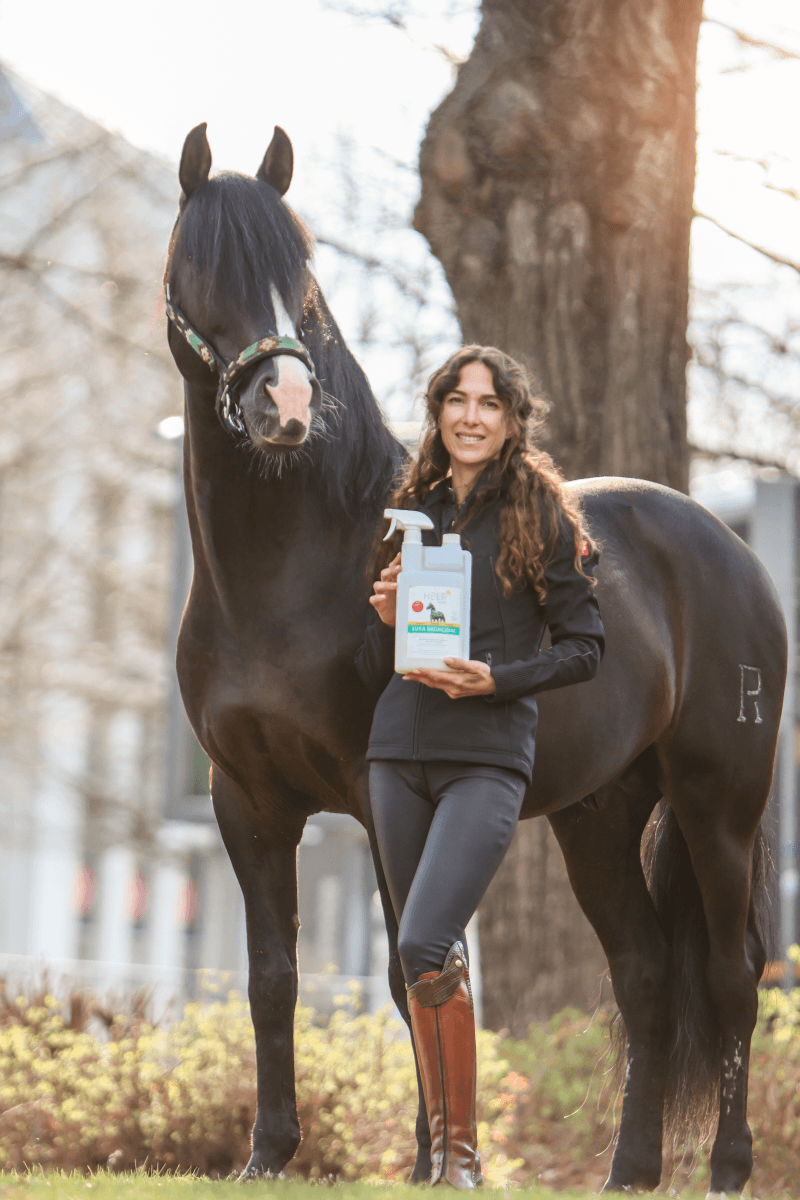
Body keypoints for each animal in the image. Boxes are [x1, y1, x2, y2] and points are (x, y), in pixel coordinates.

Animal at [164, 122, 785, 1196]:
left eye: (303, 278)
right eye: (204, 264)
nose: (287, 406)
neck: (285, 577)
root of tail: (731, 550)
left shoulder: (373, 795)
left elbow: (404, 968)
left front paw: (427, 1159)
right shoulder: (244, 800)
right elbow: (272, 976)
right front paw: (268, 1155)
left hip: (719, 807)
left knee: (728, 976)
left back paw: (728, 1167)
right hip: (598, 815)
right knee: (646, 975)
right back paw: (629, 1169)